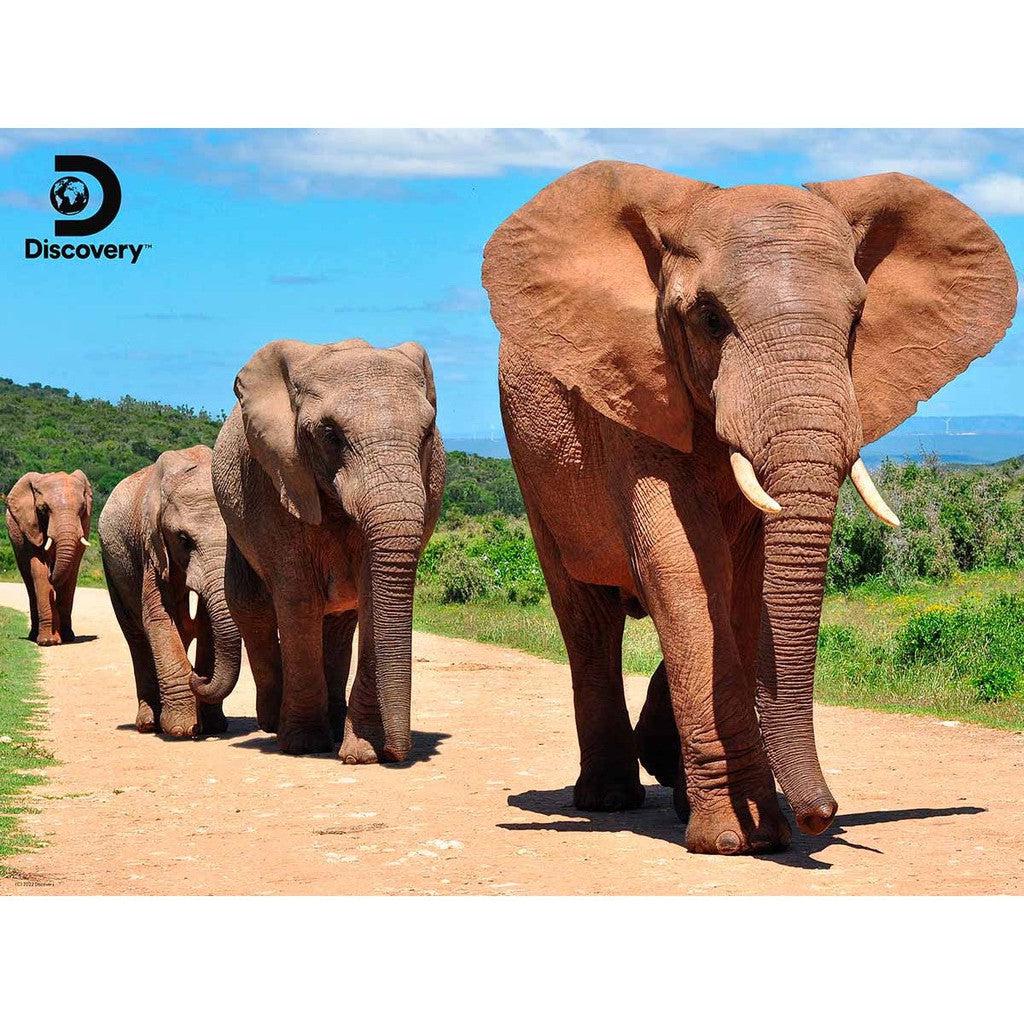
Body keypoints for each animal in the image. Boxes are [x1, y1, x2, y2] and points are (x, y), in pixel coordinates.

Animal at [4, 468, 94, 643]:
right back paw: (34, 635)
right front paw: (48, 641)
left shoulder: (84, 525)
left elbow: (71, 574)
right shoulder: (30, 527)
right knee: (29, 582)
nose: (52, 573)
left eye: (82, 509)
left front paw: (67, 638)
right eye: (43, 509)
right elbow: (39, 571)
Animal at [100, 446, 243, 737]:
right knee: (136, 638)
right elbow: (158, 619)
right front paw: (181, 730)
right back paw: (147, 724)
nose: (198, 677)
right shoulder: (151, 546)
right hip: (111, 565)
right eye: (184, 540)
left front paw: (213, 726)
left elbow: (208, 624)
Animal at [211, 339, 444, 765]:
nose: (398, 754)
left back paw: (334, 725)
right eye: (330, 434)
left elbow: (372, 597)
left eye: (427, 433)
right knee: (250, 605)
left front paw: (362, 752)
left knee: (339, 622)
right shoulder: (275, 478)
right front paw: (304, 745)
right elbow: (298, 598)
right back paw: (273, 724)